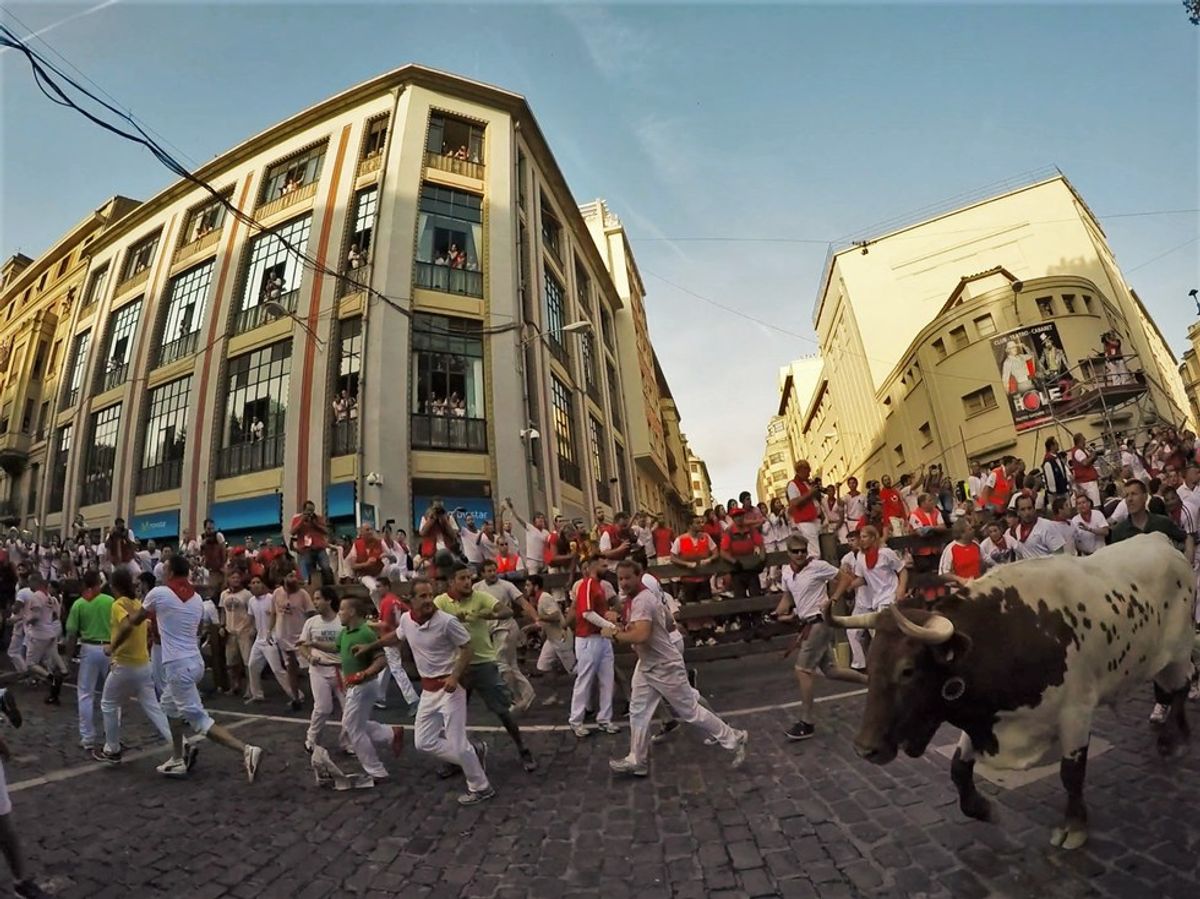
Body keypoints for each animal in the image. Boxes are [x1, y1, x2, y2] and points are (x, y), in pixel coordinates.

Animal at [830, 532, 1195, 849]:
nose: (865, 749)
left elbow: (1071, 773)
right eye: (871, 665)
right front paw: (984, 808)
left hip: (1178, 651)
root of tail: (1161, 540)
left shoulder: (1076, 712)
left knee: (1182, 685)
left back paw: (1172, 739)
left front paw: (1075, 826)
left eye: (907, 670)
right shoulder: (985, 718)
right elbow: (958, 769)